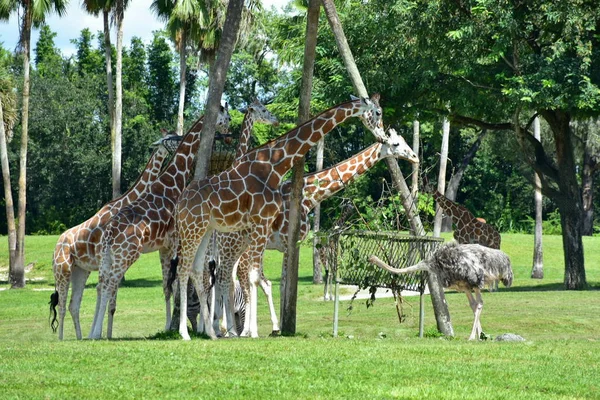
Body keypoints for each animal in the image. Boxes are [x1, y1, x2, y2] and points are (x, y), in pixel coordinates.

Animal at [50, 131, 182, 340]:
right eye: (170, 139)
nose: (183, 138)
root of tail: (57, 244)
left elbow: (110, 301)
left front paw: (105, 334)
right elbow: (104, 292)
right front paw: (99, 333)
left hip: (80, 270)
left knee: (73, 305)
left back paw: (79, 337)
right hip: (62, 270)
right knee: (62, 305)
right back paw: (62, 339)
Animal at [86, 104, 232, 340]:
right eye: (227, 118)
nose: (227, 137)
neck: (173, 181)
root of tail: (108, 234)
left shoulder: (163, 247)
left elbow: (166, 287)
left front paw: (168, 326)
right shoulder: (173, 241)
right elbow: (177, 282)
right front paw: (177, 328)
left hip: (107, 257)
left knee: (102, 284)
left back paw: (93, 332)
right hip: (127, 255)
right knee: (109, 286)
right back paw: (97, 333)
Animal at [176, 94, 386, 340]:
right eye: (378, 112)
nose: (382, 135)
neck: (273, 166)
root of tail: (180, 201)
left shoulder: (268, 231)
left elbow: (270, 281)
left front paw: (266, 328)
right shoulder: (263, 224)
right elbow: (257, 278)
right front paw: (254, 332)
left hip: (206, 231)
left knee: (200, 271)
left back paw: (211, 331)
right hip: (196, 231)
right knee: (189, 271)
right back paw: (189, 332)